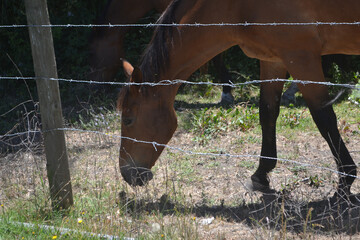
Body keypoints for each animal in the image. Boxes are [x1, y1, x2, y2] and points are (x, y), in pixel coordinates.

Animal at [116, 0, 358, 199]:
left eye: (128, 119)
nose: (127, 174)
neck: (237, 5)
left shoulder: (301, 57)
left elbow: (324, 119)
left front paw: (345, 182)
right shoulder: (273, 60)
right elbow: (267, 113)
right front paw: (261, 175)